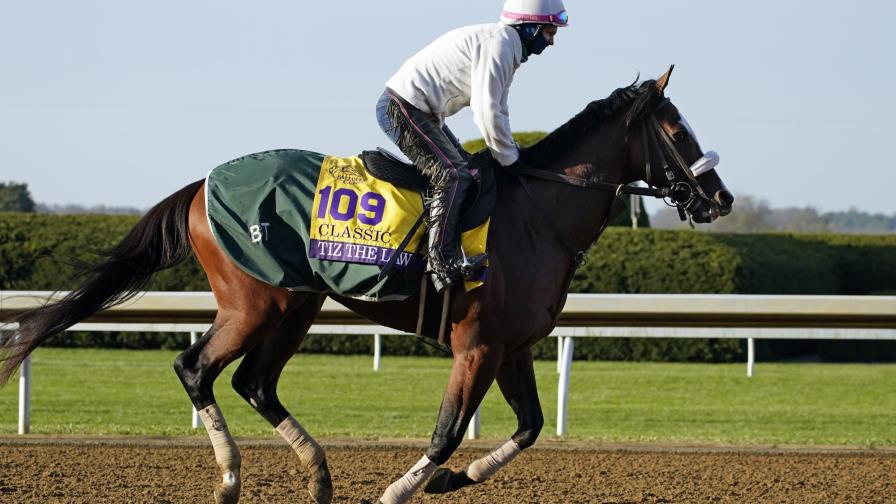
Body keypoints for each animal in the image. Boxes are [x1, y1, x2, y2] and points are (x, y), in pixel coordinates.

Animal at [0, 68, 736, 504]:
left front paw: (453, 480)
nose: (722, 197)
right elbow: (446, 431)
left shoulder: (514, 347)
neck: (536, 215)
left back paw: (318, 475)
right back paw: (232, 477)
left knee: (254, 382)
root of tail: (200, 187)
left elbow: (528, 427)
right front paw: (401, 490)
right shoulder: (476, 346)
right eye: (676, 128)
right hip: (253, 301)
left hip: (296, 303)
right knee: (195, 367)